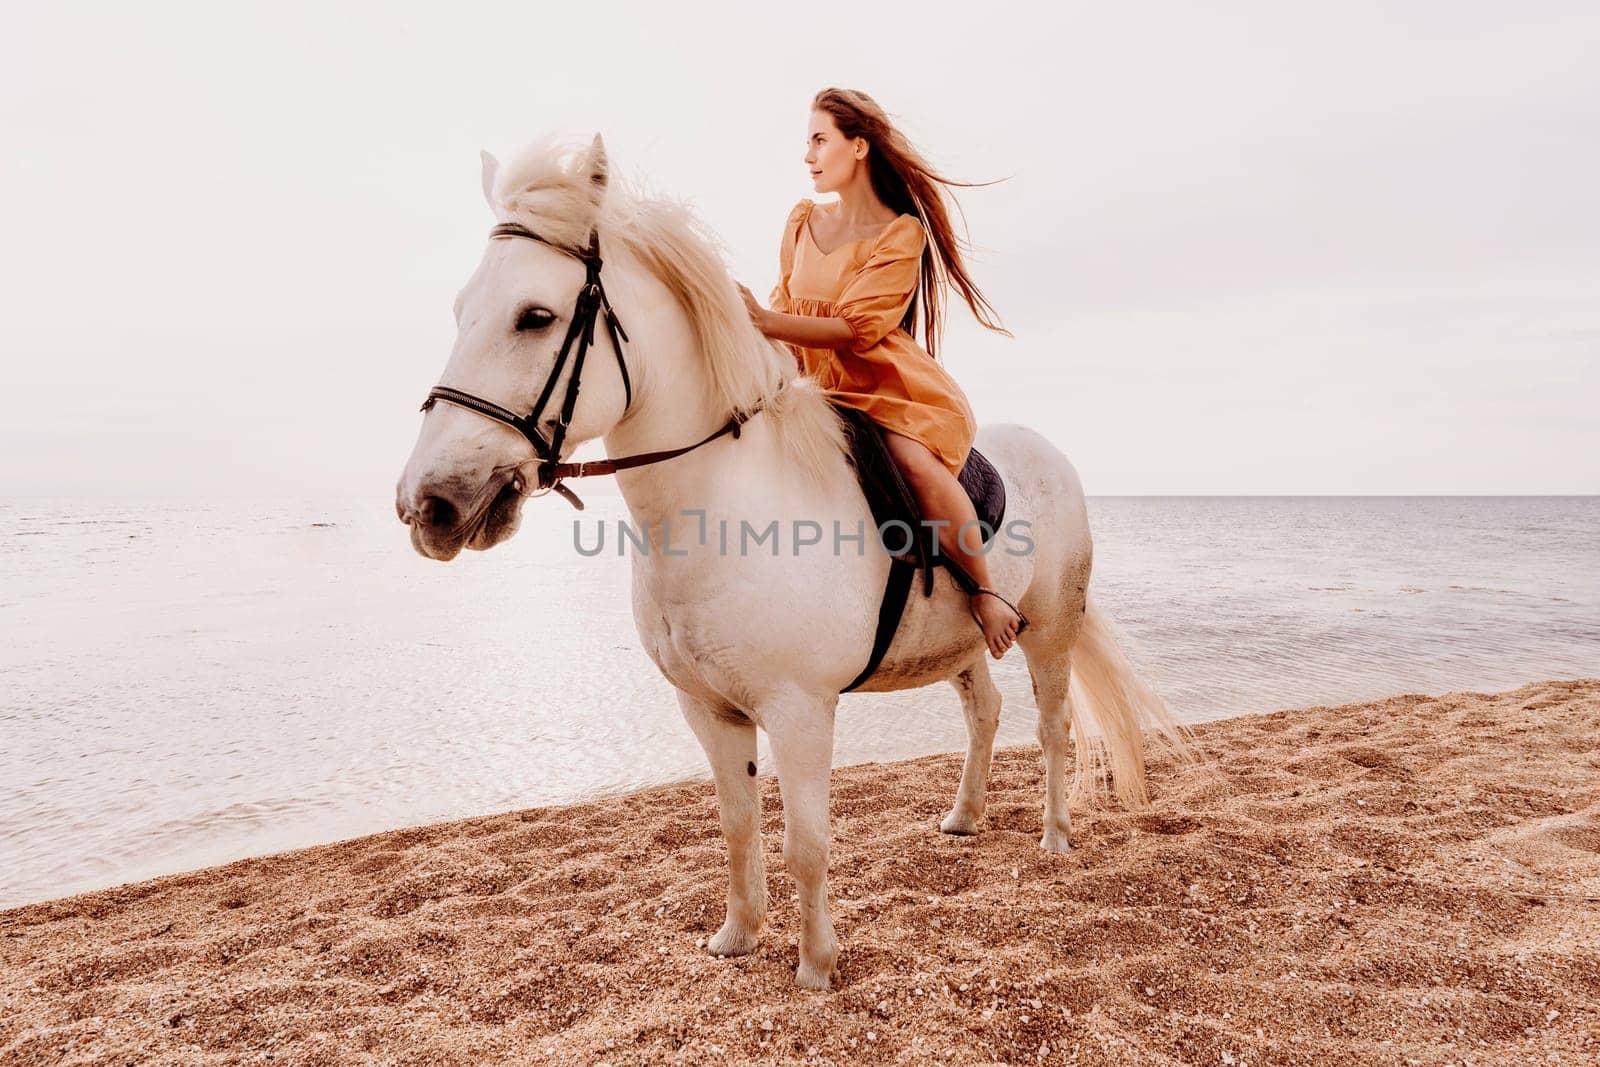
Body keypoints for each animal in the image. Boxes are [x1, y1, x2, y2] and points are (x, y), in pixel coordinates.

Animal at [393, 133, 1196, 991]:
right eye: (460, 311)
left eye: (535, 317)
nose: (428, 504)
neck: (721, 506)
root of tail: (1050, 452)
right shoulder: (708, 709)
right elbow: (738, 827)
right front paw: (738, 934)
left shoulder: (800, 710)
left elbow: (805, 841)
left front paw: (815, 965)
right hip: (960, 643)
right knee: (984, 711)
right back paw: (963, 817)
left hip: (1050, 632)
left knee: (1051, 728)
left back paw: (1054, 835)